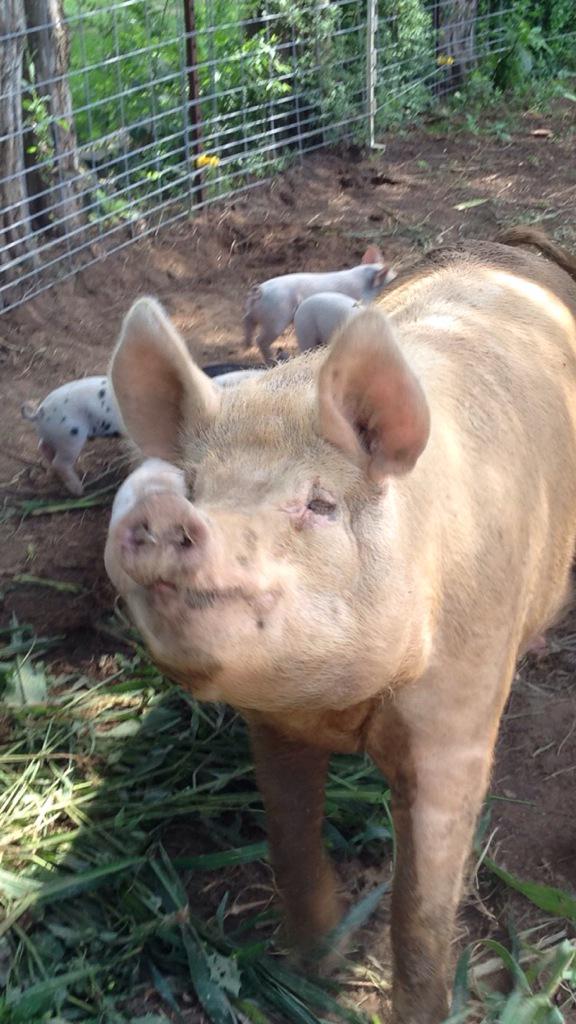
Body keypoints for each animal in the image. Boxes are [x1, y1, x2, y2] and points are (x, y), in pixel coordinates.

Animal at [22, 367, 264, 495]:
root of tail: (40, 411)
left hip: (55, 435)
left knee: (43, 448)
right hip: (70, 435)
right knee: (60, 463)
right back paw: (80, 489)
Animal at [243, 244, 396, 362]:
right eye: (390, 278)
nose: (396, 275)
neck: (364, 281)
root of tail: (260, 290)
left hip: (256, 312)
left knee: (247, 321)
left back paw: (247, 346)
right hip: (277, 317)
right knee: (261, 340)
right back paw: (271, 361)